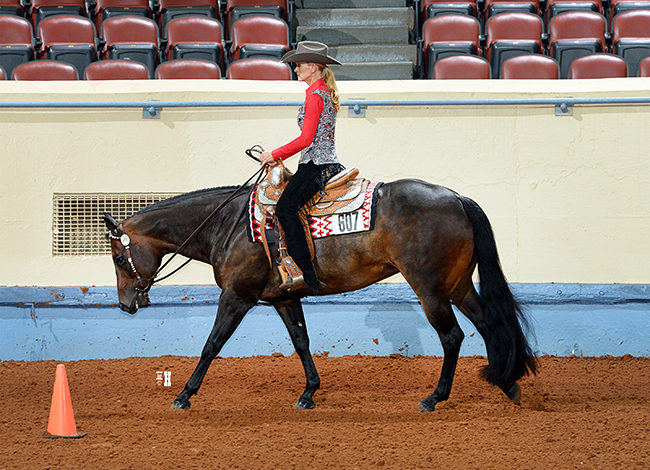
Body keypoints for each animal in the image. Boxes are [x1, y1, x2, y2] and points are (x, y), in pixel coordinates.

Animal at [104, 179, 536, 412]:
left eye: (118, 257)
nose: (126, 304)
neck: (229, 226)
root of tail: (458, 199)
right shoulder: (283, 298)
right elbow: (301, 341)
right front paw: (309, 393)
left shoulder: (237, 296)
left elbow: (212, 344)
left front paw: (184, 395)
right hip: (458, 285)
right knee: (489, 325)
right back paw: (507, 383)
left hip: (430, 288)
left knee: (452, 336)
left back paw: (434, 397)